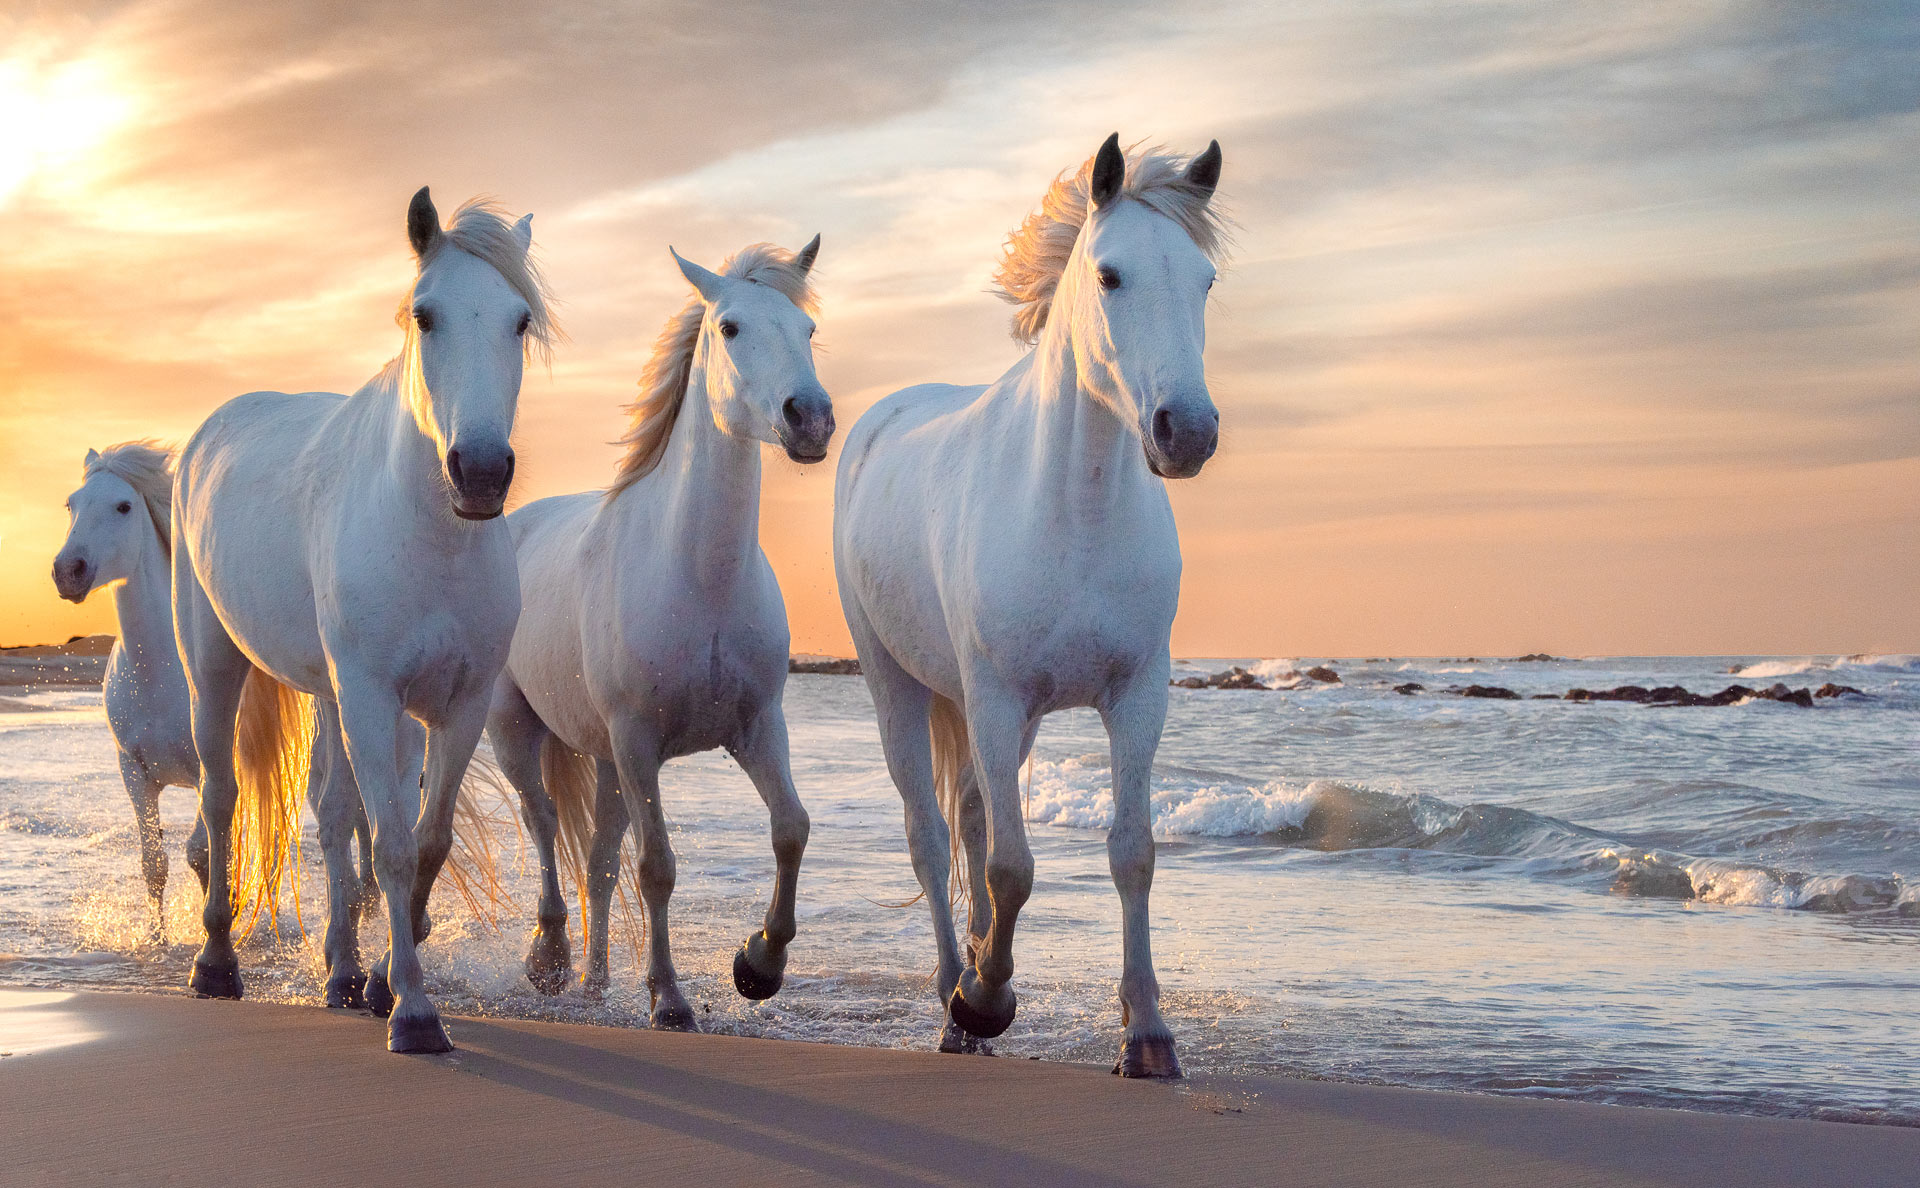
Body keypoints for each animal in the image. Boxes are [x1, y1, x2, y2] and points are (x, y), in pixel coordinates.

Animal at [52, 437, 380, 940]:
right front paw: (159, 939)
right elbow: (155, 864)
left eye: (123, 506)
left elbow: (202, 853)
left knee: (360, 817)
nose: (69, 570)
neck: (157, 675)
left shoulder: (214, 766)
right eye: (71, 503)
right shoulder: (135, 774)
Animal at [172, 186, 552, 1051]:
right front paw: (413, 1012)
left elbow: (424, 841)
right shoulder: (375, 699)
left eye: (519, 320)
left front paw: (381, 982)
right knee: (221, 795)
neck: (433, 538)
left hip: (330, 693)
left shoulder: (456, 705)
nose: (481, 472)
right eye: (426, 315)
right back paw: (215, 963)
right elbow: (393, 848)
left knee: (332, 812)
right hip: (213, 665)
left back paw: (343, 974)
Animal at [483, 237, 829, 1028]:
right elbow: (658, 866)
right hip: (519, 730)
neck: (698, 578)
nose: (810, 418)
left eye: (808, 330)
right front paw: (669, 998)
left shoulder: (757, 728)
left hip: (607, 761)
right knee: (545, 824)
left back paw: (595, 980)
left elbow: (790, 828)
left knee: (598, 861)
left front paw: (758, 965)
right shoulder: (639, 739)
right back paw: (549, 961)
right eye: (730, 327)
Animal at [833, 137, 1221, 1074]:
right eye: (1110, 275)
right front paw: (984, 1001)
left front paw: (1148, 1034)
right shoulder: (997, 697)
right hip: (897, 686)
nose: (1186, 432)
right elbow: (1012, 867)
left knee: (972, 817)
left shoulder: (1136, 697)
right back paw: (955, 996)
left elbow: (1131, 853)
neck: (1074, 512)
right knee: (932, 837)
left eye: (1205, 280)